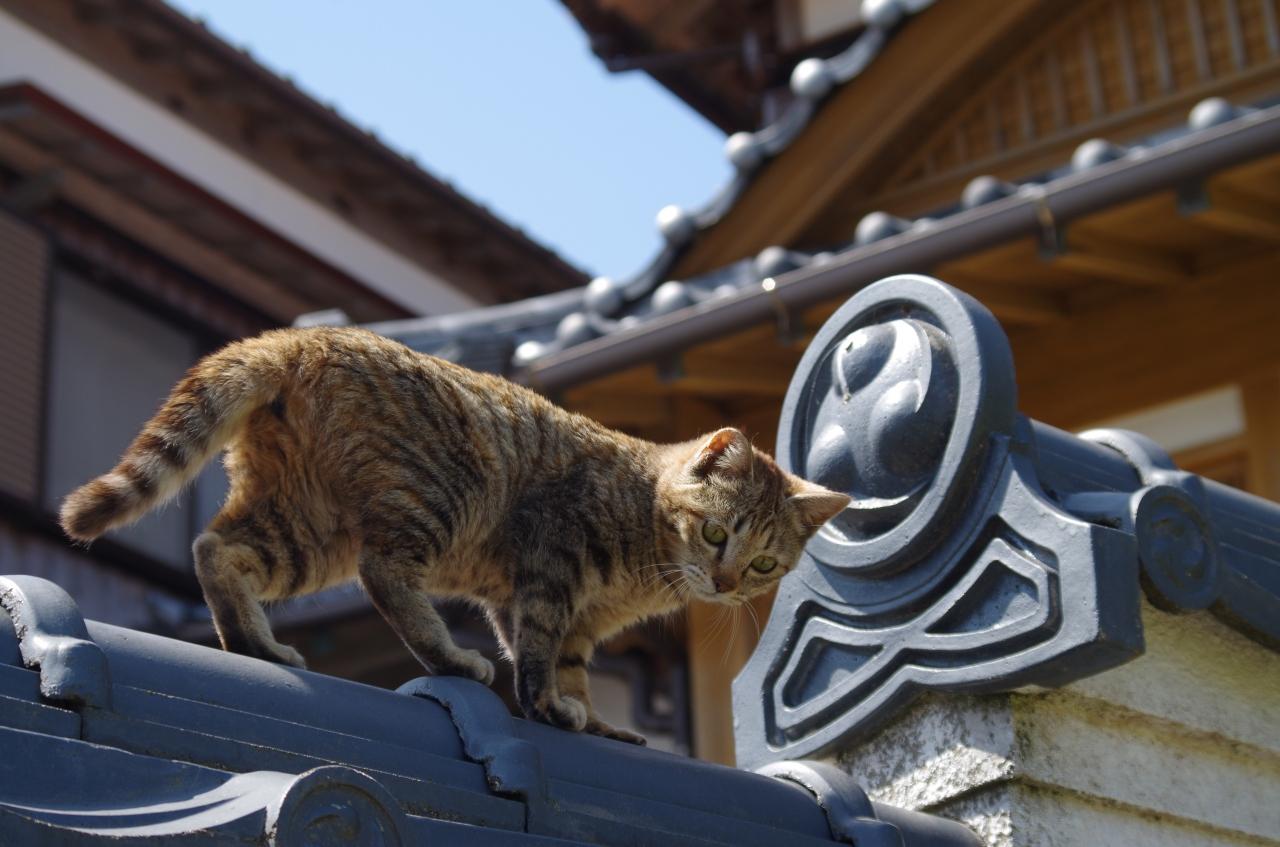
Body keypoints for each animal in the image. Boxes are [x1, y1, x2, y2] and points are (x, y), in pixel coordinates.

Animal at [64, 327, 855, 747]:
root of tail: (305, 335)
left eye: (763, 563)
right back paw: (449, 656)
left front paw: (592, 720)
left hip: (309, 526)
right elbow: (538, 653)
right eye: (715, 531)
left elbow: (569, 666)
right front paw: (550, 707)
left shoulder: (569, 616)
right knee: (385, 575)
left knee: (217, 549)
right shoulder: (552, 560)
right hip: (433, 496)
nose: (725, 583)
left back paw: (255, 642)